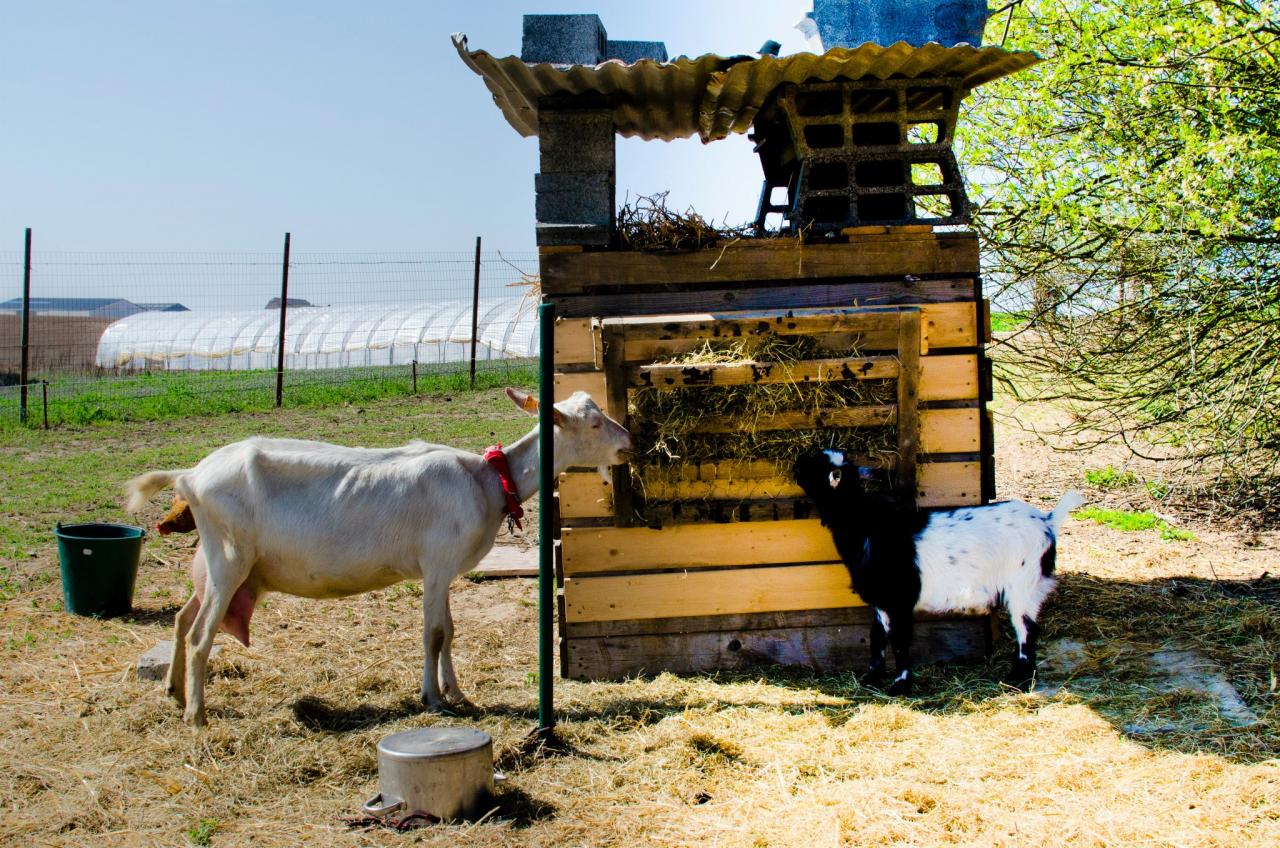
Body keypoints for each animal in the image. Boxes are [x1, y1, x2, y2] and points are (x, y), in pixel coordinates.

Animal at [122, 389, 632, 727]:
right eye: (593, 424)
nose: (627, 442)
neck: (487, 481)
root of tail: (190, 475)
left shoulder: (443, 570)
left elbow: (450, 632)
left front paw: (457, 692)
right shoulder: (436, 563)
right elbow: (433, 634)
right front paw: (432, 698)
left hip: (218, 565)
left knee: (182, 619)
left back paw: (173, 692)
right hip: (229, 560)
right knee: (200, 634)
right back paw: (196, 715)